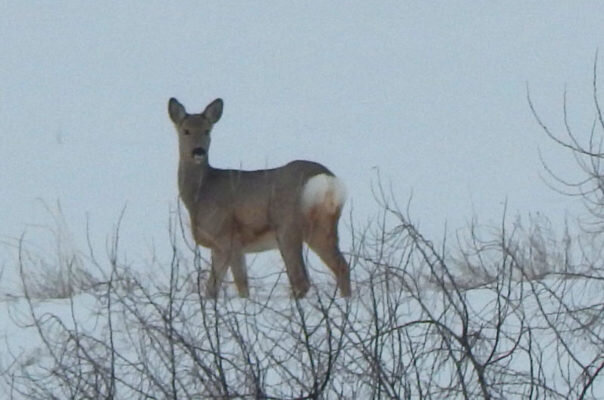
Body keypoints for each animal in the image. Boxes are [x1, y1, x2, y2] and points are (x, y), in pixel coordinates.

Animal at [168, 96, 352, 296]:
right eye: (185, 131)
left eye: (207, 130)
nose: (198, 151)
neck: (201, 194)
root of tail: (326, 180)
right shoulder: (218, 247)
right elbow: (211, 289)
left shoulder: (228, 236)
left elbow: (241, 284)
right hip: (323, 226)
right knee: (341, 266)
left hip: (288, 226)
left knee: (301, 279)